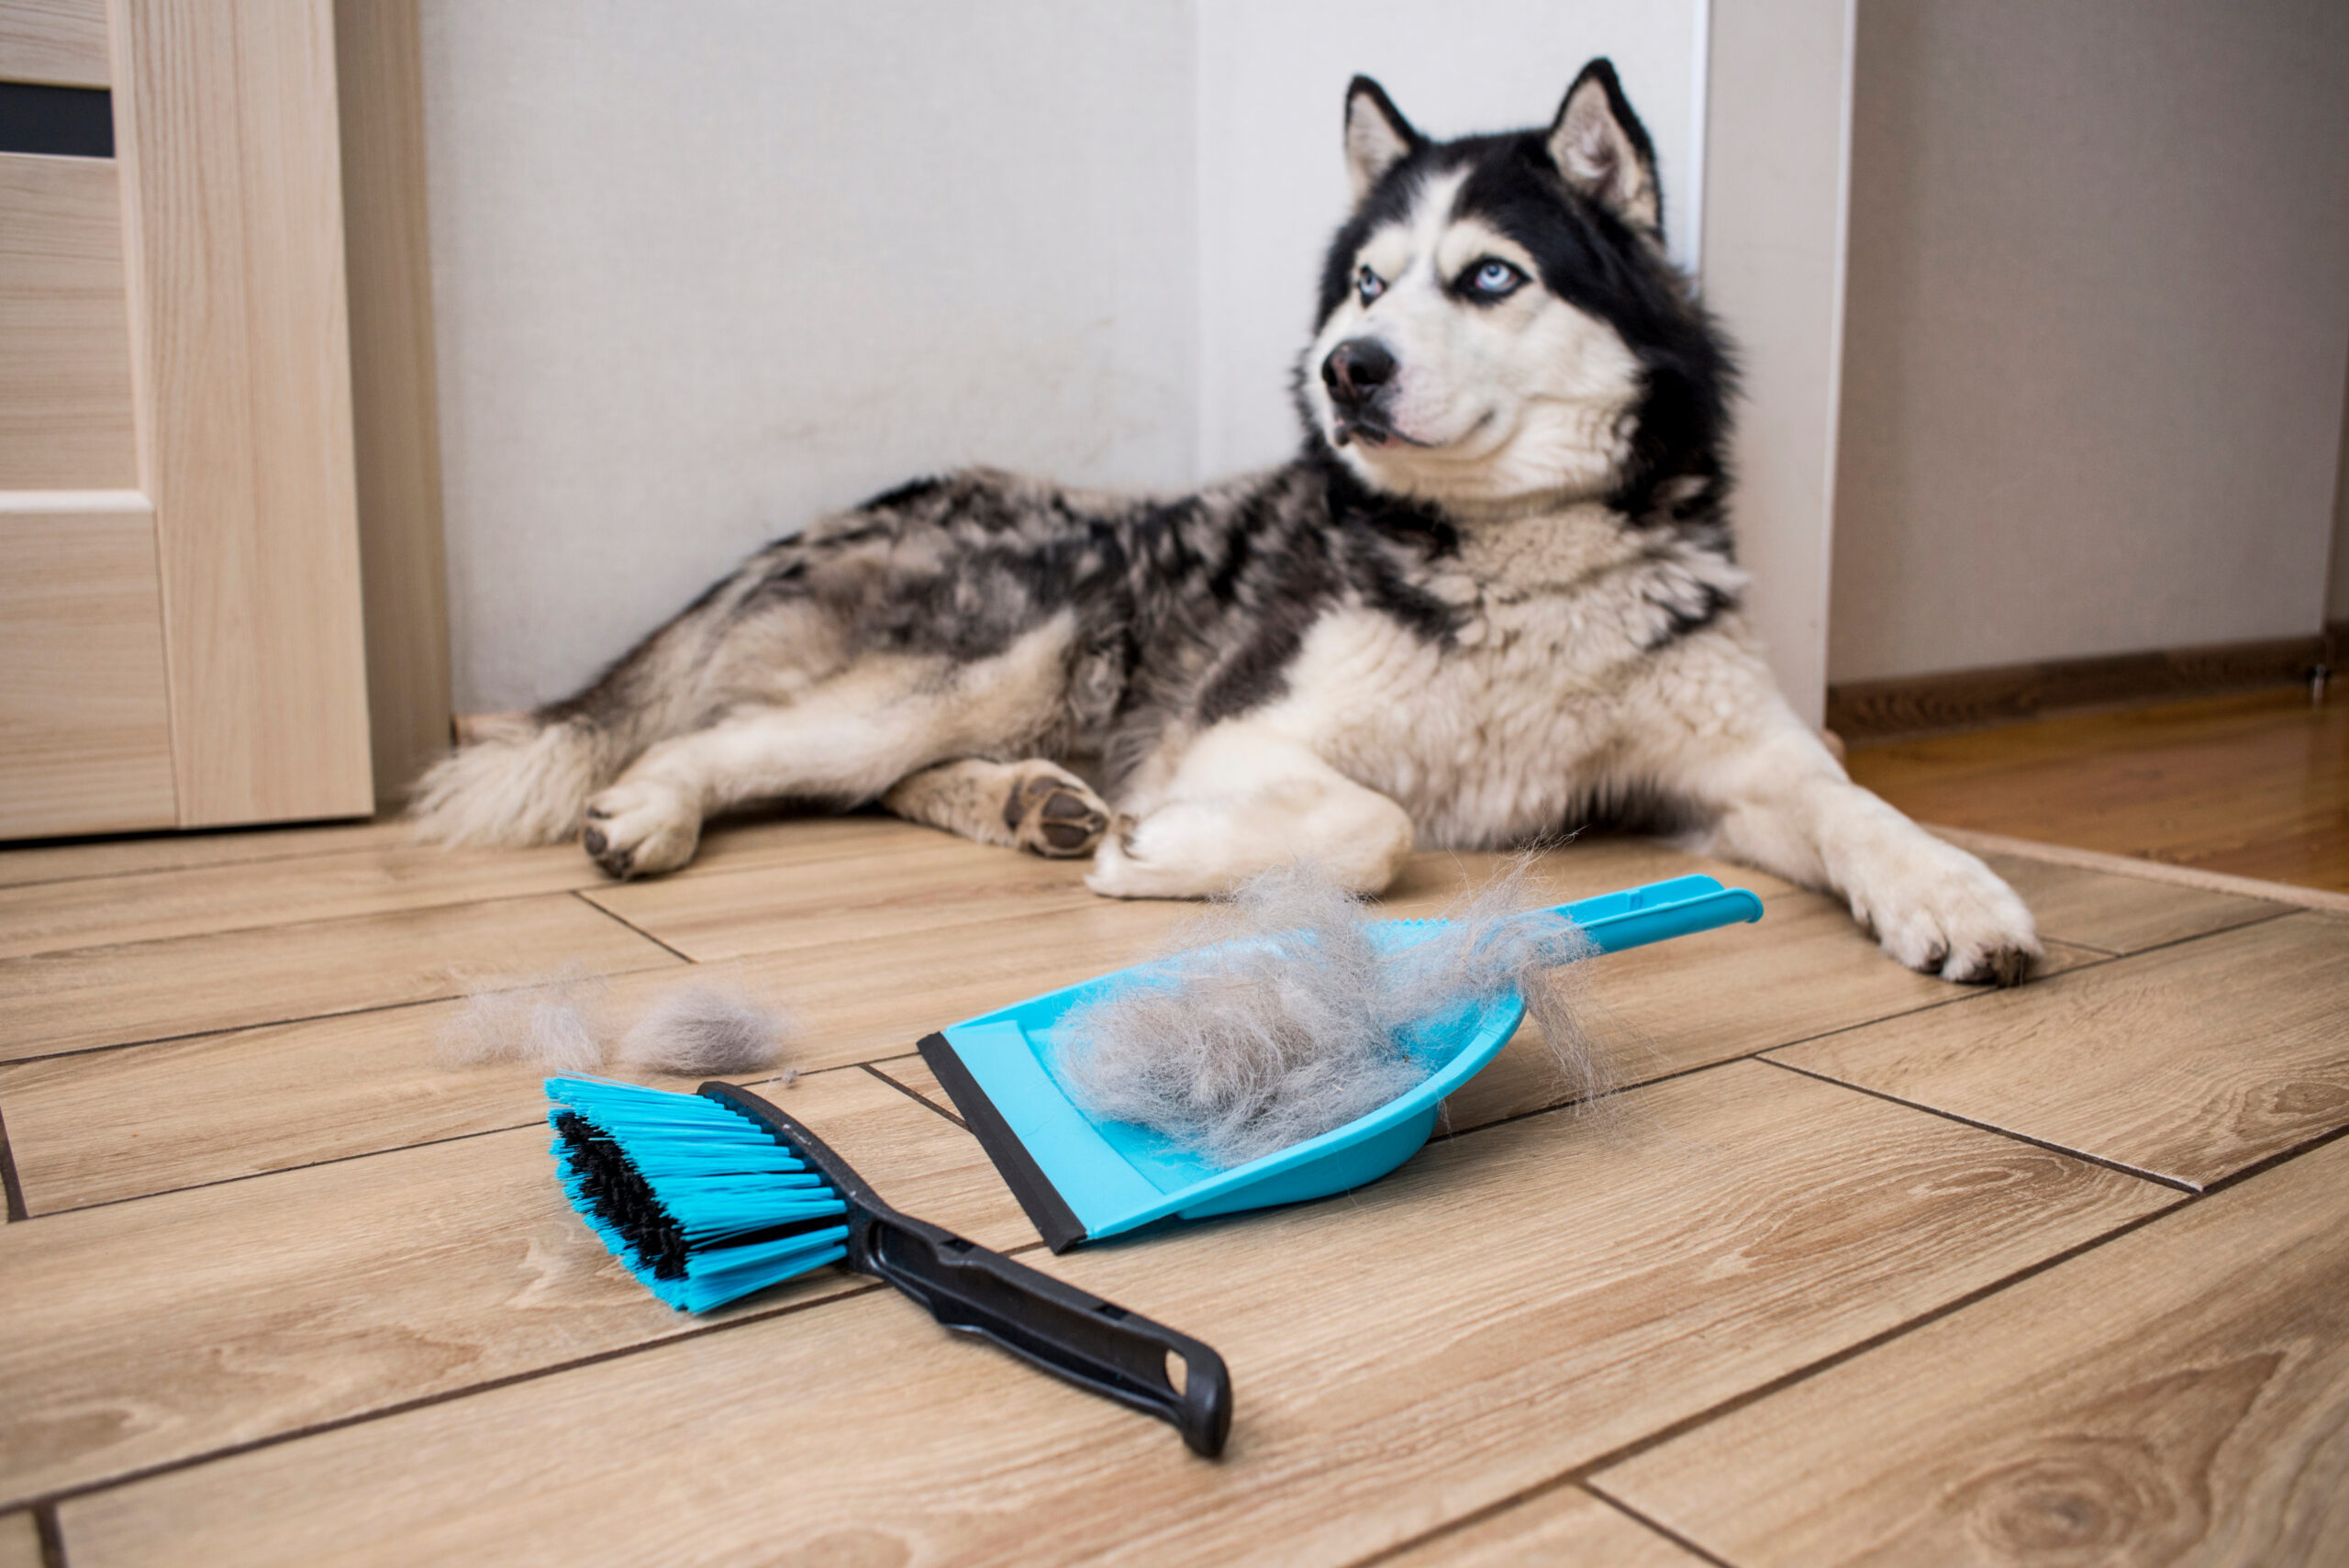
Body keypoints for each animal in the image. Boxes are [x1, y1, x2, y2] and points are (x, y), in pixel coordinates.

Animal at [417, 64, 2039, 990]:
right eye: (1369, 283)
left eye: (1491, 276)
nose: (1346, 369)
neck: (1513, 565)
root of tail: (844, 507)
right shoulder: (1244, 732)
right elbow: (1380, 826)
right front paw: (1165, 853)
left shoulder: (1735, 771)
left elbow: (1857, 804)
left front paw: (1955, 889)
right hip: (1027, 640)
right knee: (742, 742)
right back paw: (654, 811)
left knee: (872, 779)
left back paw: (1029, 806)